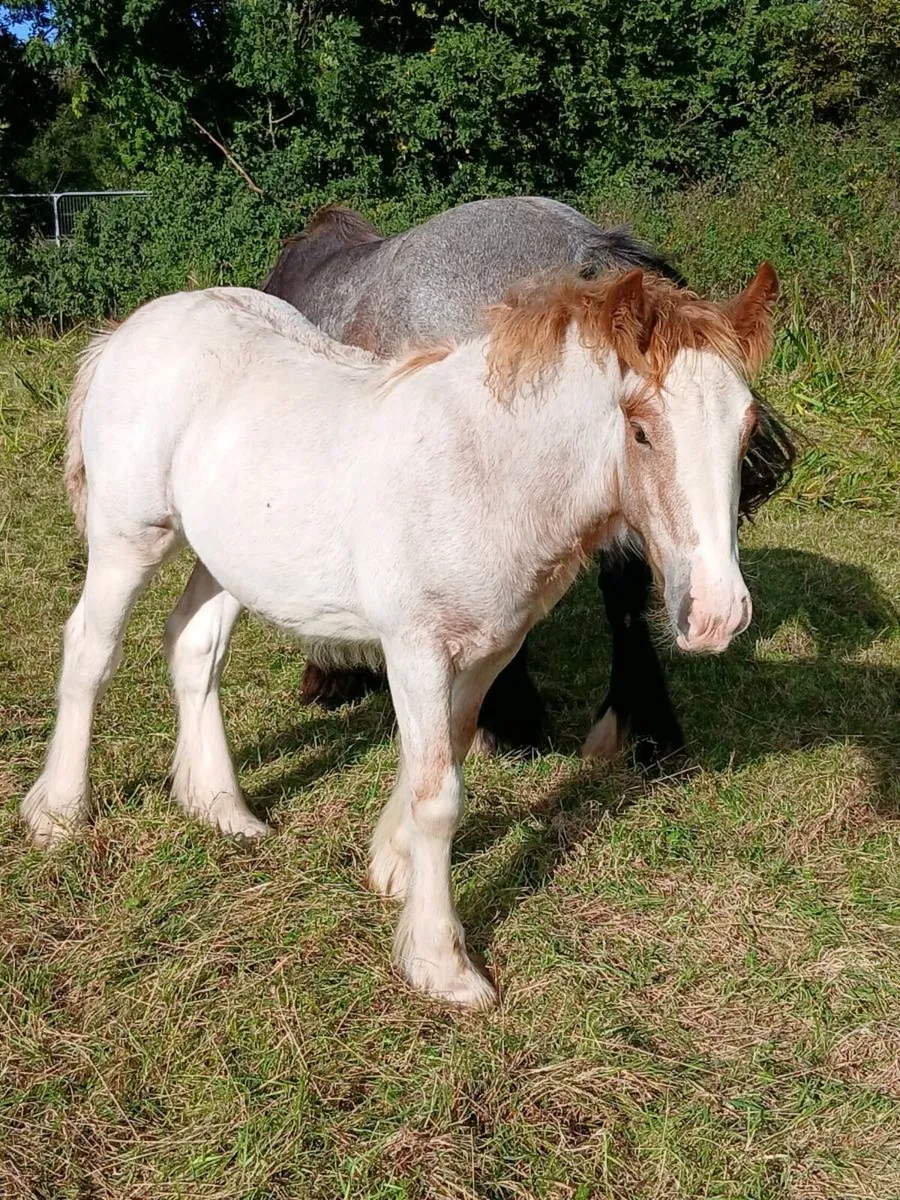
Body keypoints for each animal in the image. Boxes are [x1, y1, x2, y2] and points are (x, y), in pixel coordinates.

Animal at [22, 262, 778, 1007]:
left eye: (745, 430)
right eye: (641, 429)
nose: (717, 614)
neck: (484, 471)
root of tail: (129, 330)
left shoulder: (491, 649)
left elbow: (442, 754)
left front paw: (392, 866)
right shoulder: (414, 648)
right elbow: (438, 795)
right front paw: (442, 963)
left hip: (226, 557)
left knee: (192, 646)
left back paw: (221, 807)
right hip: (129, 538)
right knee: (90, 650)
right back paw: (58, 813)